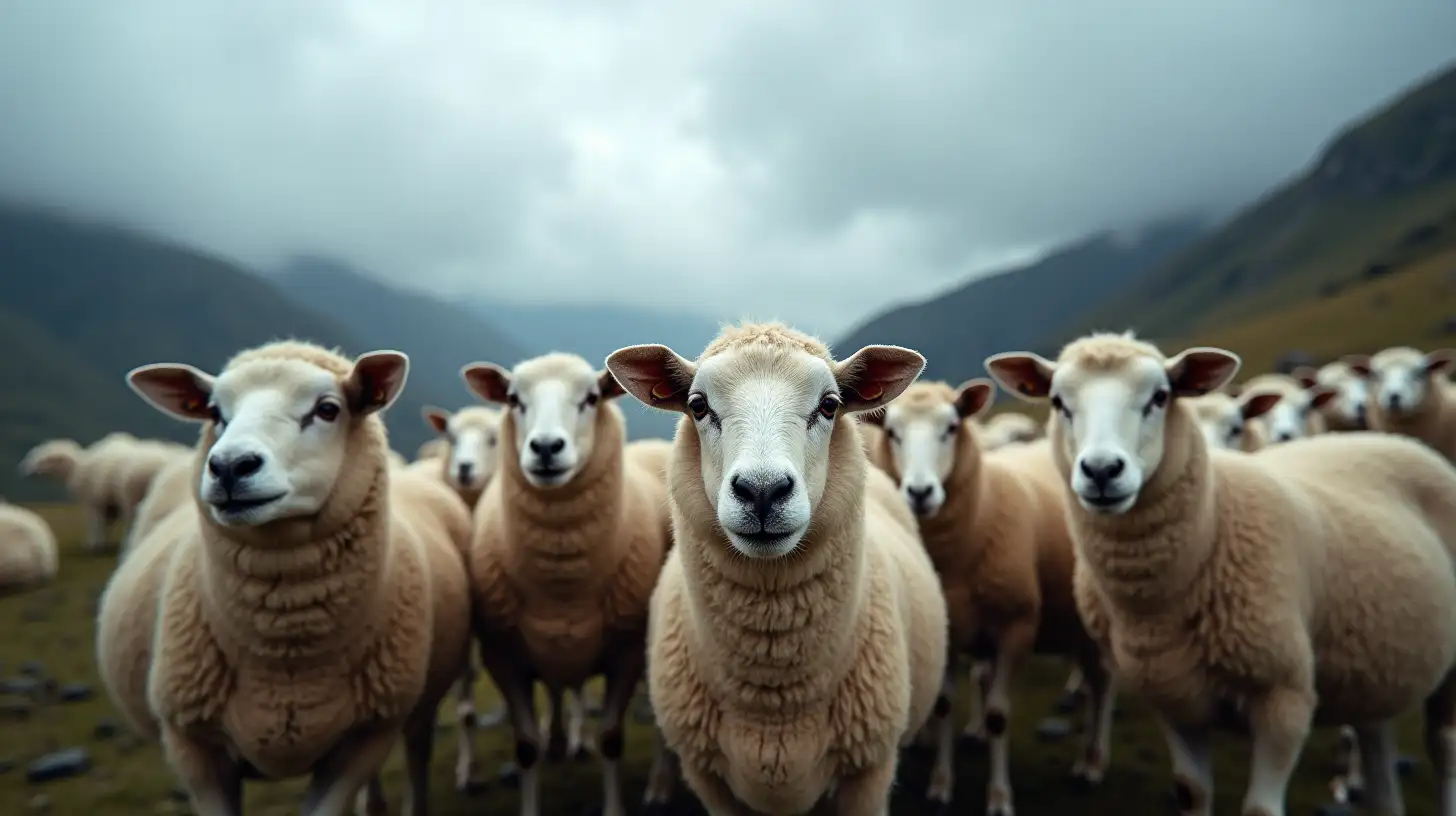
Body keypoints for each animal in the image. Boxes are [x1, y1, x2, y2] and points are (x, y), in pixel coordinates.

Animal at [107, 340, 471, 816]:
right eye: (215, 412)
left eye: (328, 409)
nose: (229, 466)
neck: (286, 653)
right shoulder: (194, 749)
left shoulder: (364, 740)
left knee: (417, 751)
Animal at [460, 349, 675, 816]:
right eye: (513, 399)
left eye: (591, 398)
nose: (545, 448)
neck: (562, 584)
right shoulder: (503, 656)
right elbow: (525, 747)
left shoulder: (626, 653)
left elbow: (611, 739)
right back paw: (560, 742)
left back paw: (659, 785)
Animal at [856, 378, 1106, 810]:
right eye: (892, 432)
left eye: (951, 427)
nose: (919, 492)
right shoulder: (950, 632)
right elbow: (943, 706)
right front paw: (941, 784)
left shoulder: (1017, 628)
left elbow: (998, 716)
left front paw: (999, 796)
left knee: (1102, 684)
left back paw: (1092, 761)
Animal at [984, 332, 1456, 816]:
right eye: (1058, 401)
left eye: (1160, 396)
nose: (1101, 470)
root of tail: (1388, 439)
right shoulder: (1173, 698)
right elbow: (1192, 792)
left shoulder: (1284, 700)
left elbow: (1261, 808)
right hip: (1373, 673)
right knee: (1382, 773)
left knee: (1442, 746)